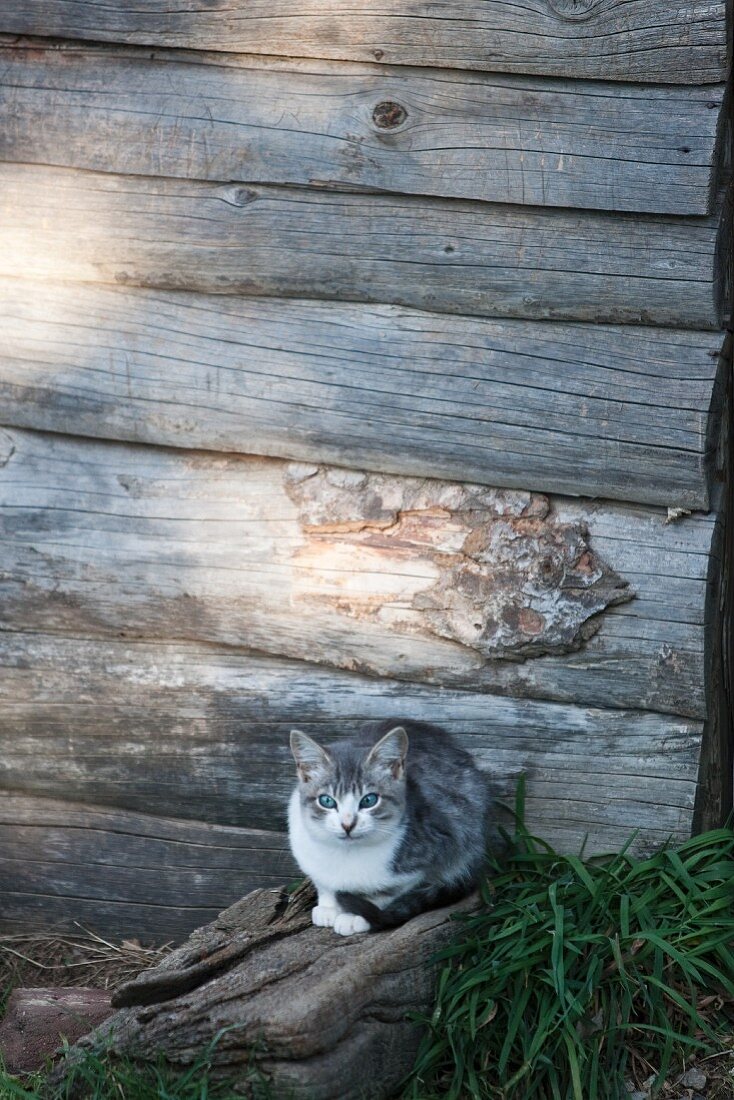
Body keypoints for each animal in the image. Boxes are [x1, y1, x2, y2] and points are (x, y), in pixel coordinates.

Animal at [286, 721, 493, 937]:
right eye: (326, 801)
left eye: (369, 800)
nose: (347, 824)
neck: (346, 853)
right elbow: (322, 881)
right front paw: (328, 906)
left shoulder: (432, 849)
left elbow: (387, 892)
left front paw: (354, 915)